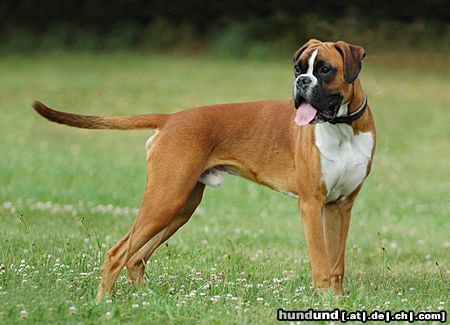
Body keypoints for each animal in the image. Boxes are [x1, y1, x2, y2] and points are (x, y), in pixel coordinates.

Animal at [32, 38, 376, 302]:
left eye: (325, 69)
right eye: (298, 69)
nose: (301, 82)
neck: (342, 127)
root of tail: (171, 118)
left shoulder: (340, 207)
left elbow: (336, 263)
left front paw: (337, 302)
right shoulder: (311, 205)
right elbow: (321, 263)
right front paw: (325, 301)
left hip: (180, 207)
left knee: (136, 257)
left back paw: (146, 300)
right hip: (165, 201)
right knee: (117, 253)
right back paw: (103, 303)